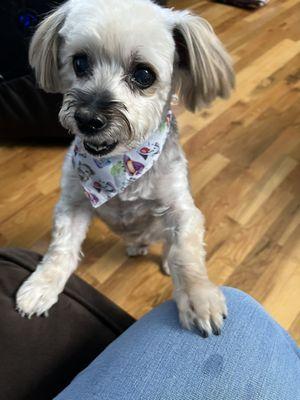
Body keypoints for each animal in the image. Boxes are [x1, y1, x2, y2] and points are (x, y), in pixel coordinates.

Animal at [15, 0, 234, 338]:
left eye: (143, 75)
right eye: (79, 62)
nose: (87, 119)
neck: (119, 165)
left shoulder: (180, 208)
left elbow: (185, 254)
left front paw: (198, 297)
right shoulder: (72, 205)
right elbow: (60, 249)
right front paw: (41, 285)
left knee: (169, 244)